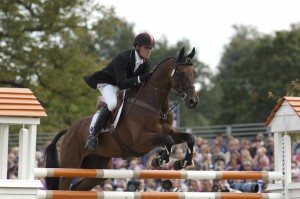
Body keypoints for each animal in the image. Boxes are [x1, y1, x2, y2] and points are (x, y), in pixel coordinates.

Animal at [44, 46, 199, 191]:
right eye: (180, 73)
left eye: (194, 73)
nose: (193, 102)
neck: (155, 105)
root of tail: (69, 130)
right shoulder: (140, 140)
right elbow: (168, 140)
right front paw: (160, 159)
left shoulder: (168, 131)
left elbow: (189, 137)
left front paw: (182, 162)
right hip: (70, 165)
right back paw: (91, 140)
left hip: (98, 169)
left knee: (77, 188)